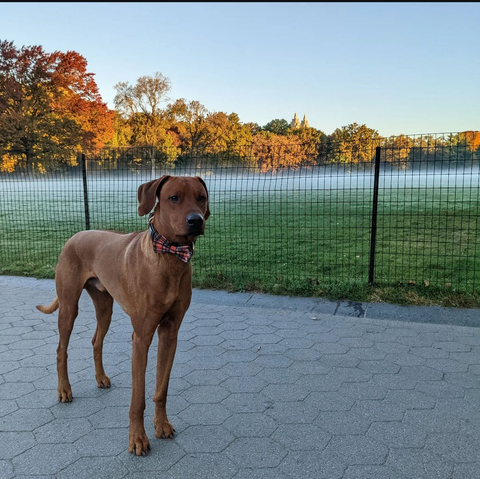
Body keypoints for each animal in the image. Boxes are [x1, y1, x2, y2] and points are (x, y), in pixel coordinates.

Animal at [36, 174, 209, 456]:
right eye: (174, 198)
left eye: (201, 198)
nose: (196, 220)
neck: (168, 256)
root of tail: (75, 235)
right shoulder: (141, 337)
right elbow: (138, 398)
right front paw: (138, 439)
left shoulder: (170, 333)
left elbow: (162, 388)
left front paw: (162, 425)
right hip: (69, 306)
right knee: (61, 349)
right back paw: (64, 390)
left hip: (105, 306)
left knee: (96, 340)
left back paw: (100, 378)